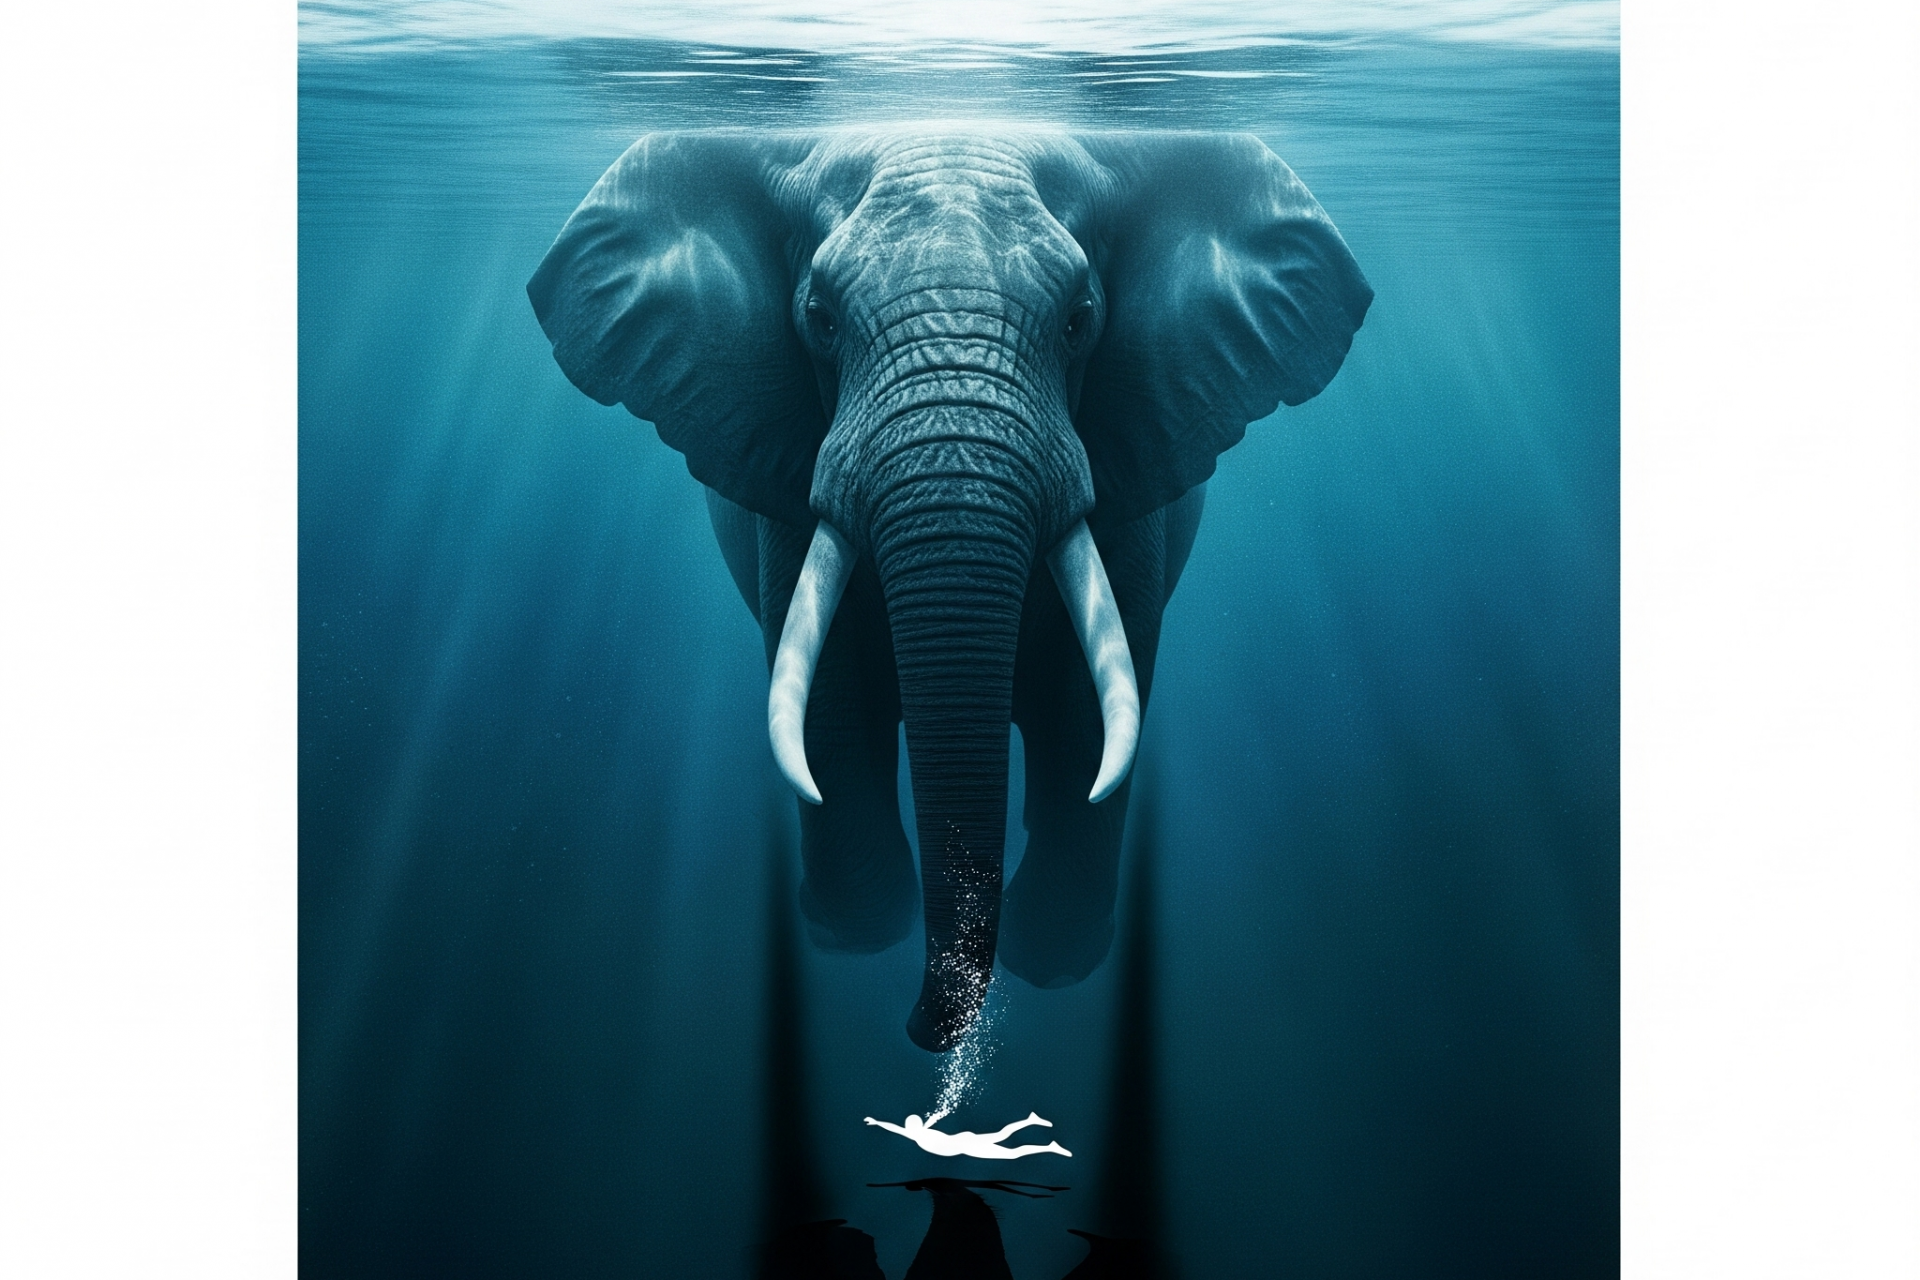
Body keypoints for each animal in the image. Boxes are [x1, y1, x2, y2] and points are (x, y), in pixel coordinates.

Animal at [528, 129, 1371, 1052]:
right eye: (820, 320)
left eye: (1079, 321)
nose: (925, 1032)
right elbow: (828, 702)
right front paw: (856, 936)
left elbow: (1088, 710)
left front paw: (1055, 964)